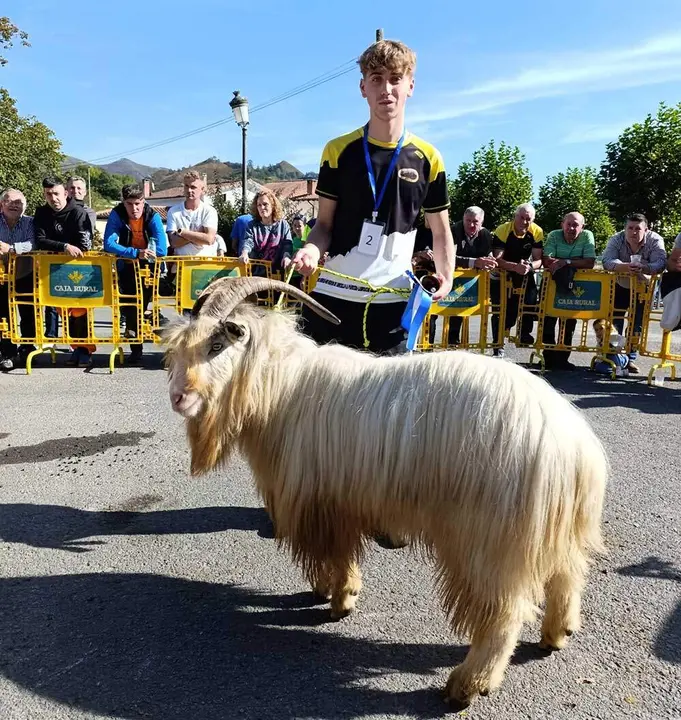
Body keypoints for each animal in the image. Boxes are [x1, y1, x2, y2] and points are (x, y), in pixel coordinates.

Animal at [161, 276, 608, 708]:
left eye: (216, 345)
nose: (178, 398)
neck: (281, 387)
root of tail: (572, 445)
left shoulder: (322, 503)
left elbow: (334, 555)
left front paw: (339, 600)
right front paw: (334, 590)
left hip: (489, 541)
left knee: (503, 614)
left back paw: (466, 686)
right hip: (552, 530)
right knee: (567, 574)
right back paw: (557, 634)